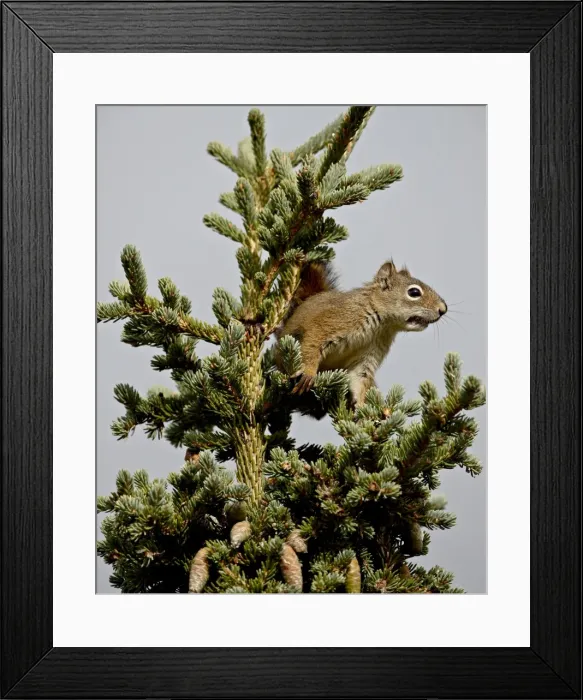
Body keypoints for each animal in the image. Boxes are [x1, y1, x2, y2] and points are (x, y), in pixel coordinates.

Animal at [275, 260, 447, 407]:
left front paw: (362, 406)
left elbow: (360, 378)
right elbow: (313, 342)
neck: (380, 325)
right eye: (414, 292)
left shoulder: (370, 353)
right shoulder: (331, 322)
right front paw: (308, 373)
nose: (443, 309)